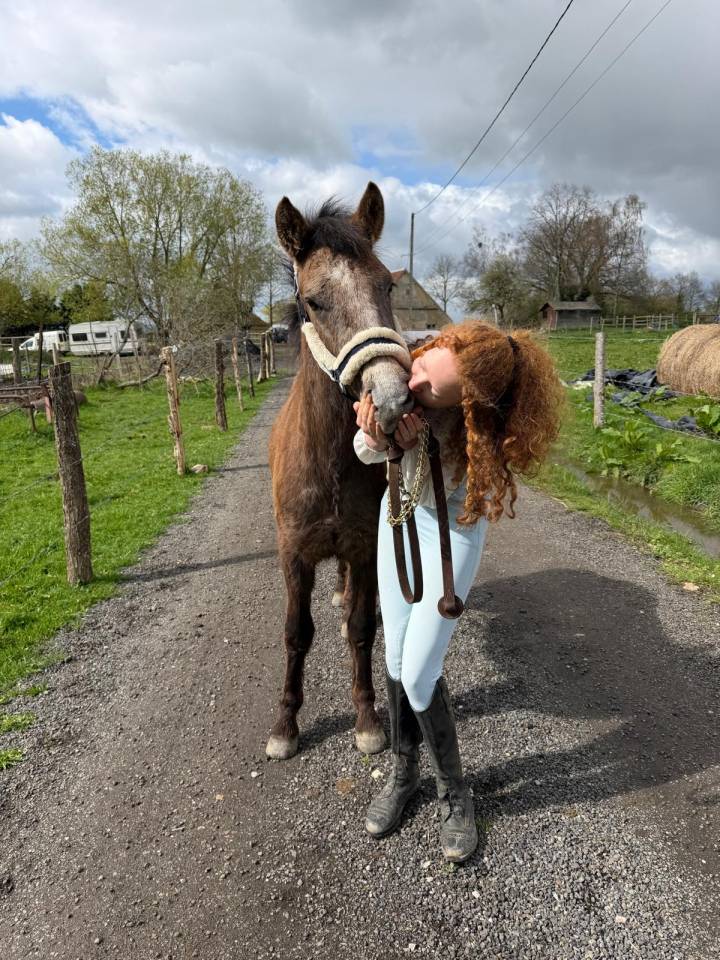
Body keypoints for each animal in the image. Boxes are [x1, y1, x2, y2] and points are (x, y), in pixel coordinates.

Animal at [266, 182, 413, 761]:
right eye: (314, 301)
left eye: (387, 287)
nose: (392, 399)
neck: (326, 458)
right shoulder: (293, 554)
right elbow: (295, 634)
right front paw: (285, 726)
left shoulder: (362, 545)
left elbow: (360, 629)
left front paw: (368, 719)